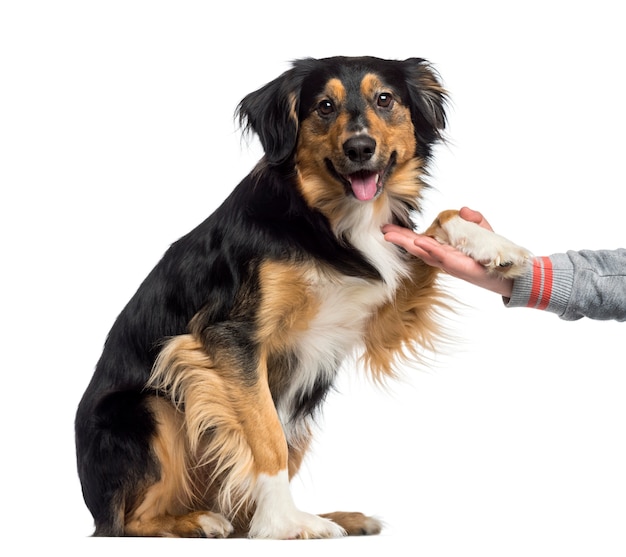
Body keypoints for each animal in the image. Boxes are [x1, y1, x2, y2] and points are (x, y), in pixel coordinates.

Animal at [75, 56, 528, 540]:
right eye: (324, 106)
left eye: (385, 99)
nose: (360, 148)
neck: (326, 216)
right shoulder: (229, 338)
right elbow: (266, 436)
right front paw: (285, 523)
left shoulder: (382, 309)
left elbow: (440, 223)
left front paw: (494, 245)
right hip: (151, 407)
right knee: (130, 521)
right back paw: (200, 520)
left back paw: (337, 517)